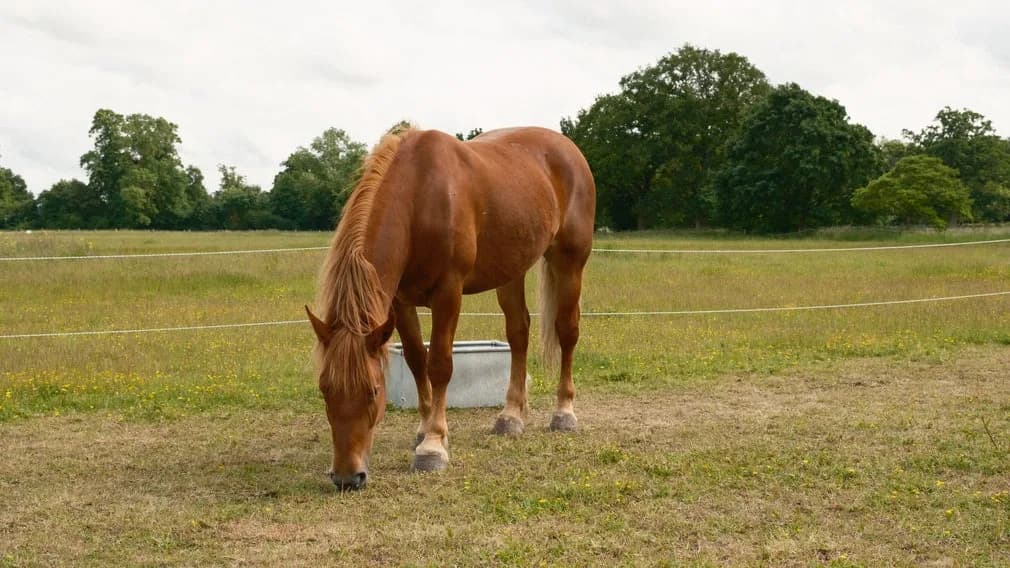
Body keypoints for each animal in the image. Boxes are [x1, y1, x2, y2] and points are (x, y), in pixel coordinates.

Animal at [306, 125, 595, 490]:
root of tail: (568, 148)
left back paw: (564, 412)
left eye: (374, 390)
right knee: (518, 333)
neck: (419, 198)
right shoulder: (400, 301)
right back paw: (511, 416)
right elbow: (417, 359)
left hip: (570, 262)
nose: (347, 477)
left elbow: (440, 364)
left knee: (567, 331)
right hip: (511, 270)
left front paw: (432, 446)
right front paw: (424, 429)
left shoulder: (448, 293)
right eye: (324, 389)